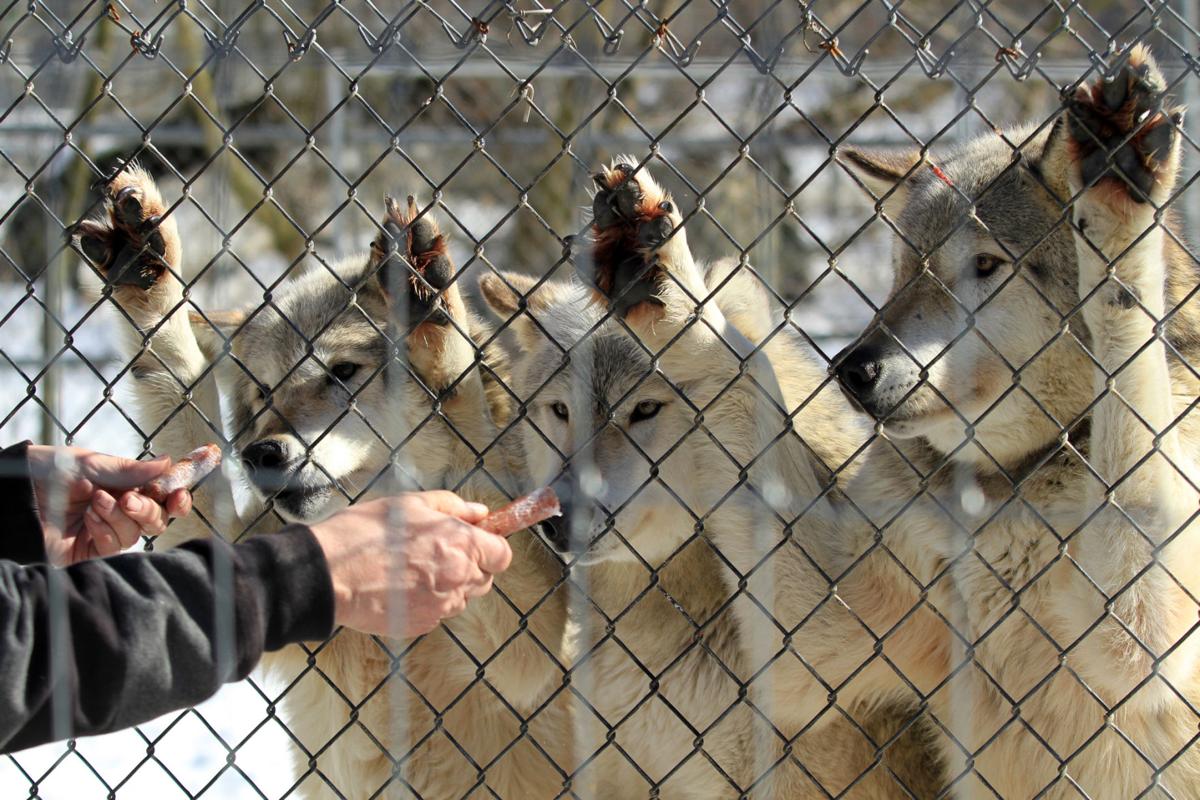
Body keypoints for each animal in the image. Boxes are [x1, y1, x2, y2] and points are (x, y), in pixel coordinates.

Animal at [74, 168, 572, 798]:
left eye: (343, 372)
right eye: (264, 392)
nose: (260, 454)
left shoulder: (530, 655)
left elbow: (465, 428)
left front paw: (429, 318)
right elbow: (173, 373)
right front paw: (144, 267)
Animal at [575, 45, 1200, 799]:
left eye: (984, 264)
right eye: (904, 271)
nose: (851, 368)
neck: (1007, 489)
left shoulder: (1141, 642)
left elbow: (1126, 330)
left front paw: (1116, 185)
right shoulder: (820, 644)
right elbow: (735, 363)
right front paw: (656, 272)